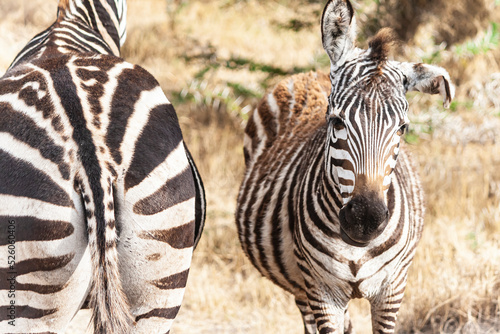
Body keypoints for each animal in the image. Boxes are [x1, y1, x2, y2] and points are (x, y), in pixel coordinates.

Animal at [235, 0, 454, 334]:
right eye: (337, 121)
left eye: (402, 128)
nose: (366, 220)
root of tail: (311, 73)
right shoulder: (321, 291)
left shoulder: (392, 290)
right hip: (301, 286)